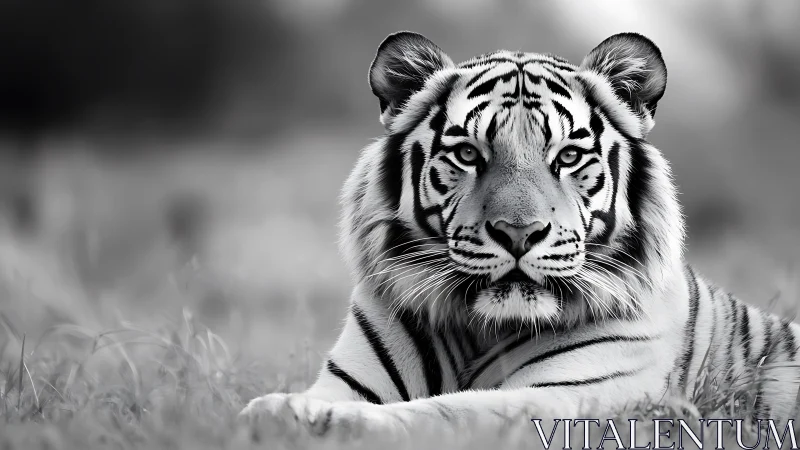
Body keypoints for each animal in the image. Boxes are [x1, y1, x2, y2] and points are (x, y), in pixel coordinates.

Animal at [240, 31, 800, 440]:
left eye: (568, 156)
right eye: (468, 154)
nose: (519, 233)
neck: (478, 329)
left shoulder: (566, 396)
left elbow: (445, 412)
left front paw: (298, 417)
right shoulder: (351, 379)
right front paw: (282, 411)